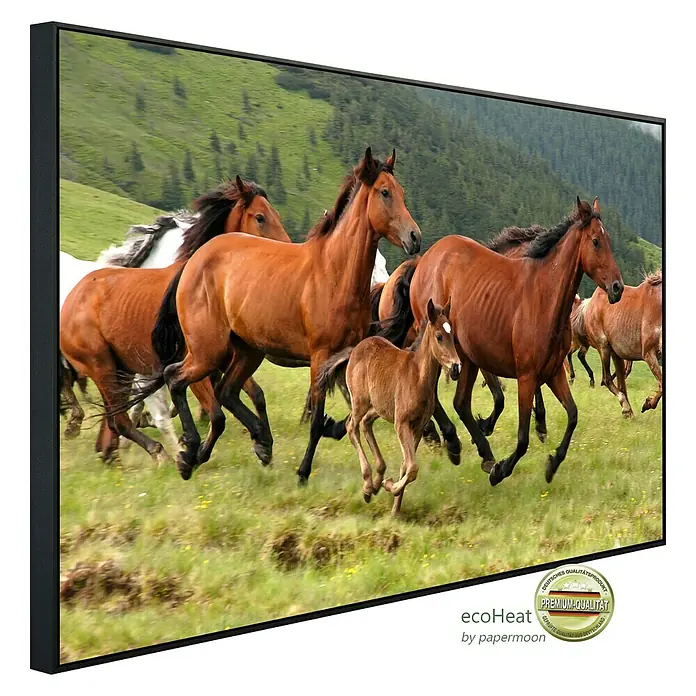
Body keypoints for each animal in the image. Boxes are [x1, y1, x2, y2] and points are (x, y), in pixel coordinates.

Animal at [60, 177, 290, 466]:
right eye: (260, 217)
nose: (288, 251)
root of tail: (70, 300)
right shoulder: (193, 361)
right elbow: (214, 410)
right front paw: (190, 449)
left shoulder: (219, 359)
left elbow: (252, 395)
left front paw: (261, 444)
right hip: (102, 367)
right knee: (119, 419)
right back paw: (156, 453)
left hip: (119, 369)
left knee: (114, 419)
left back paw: (111, 452)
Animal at [135, 147, 421, 482]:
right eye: (385, 192)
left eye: (402, 192)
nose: (414, 237)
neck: (334, 273)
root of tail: (194, 261)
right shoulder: (320, 357)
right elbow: (317, 419)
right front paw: (303, 472)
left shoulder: (347, 356)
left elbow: (349, 412)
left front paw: (330, 429)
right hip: (209, 350)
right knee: (177, 379)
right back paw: (190, 453)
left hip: (247, 350)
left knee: (226, 392)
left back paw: (242, 445)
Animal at [320, 299, 460, 515]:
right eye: (439, 336)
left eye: (452, 336)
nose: (456, 367)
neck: (417, 376)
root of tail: (355, 349)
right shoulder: (401, 423)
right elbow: (412, 467)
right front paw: (389, 486)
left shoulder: (418, 426)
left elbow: (406, 466)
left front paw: (395, 509)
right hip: (360, 402)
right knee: (352, 426)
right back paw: (368, 484)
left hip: (378, 407)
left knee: (365, 424)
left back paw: (376, 480)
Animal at [381, 197, 624, 486]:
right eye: (596, 241)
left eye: (609, 240)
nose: (618, 288)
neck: (544, 298)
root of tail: (425, 259)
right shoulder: (527, 377)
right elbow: (522, 438)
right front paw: (502, 470)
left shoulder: (553, 372)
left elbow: (573, 415)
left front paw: (552, 463)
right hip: (441, 348)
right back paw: (453, 442)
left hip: (466, 358)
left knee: (460, 403)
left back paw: (480, 452)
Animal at [581, 270, 662, 417]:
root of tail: (590, 302)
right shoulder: (649, 354)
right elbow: (662, 383)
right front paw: (647, 404)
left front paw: (647, 403)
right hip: (604, 347)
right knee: (607, 379)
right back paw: (626, 409)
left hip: (617, 354)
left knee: (621, 383)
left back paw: (628, 412)